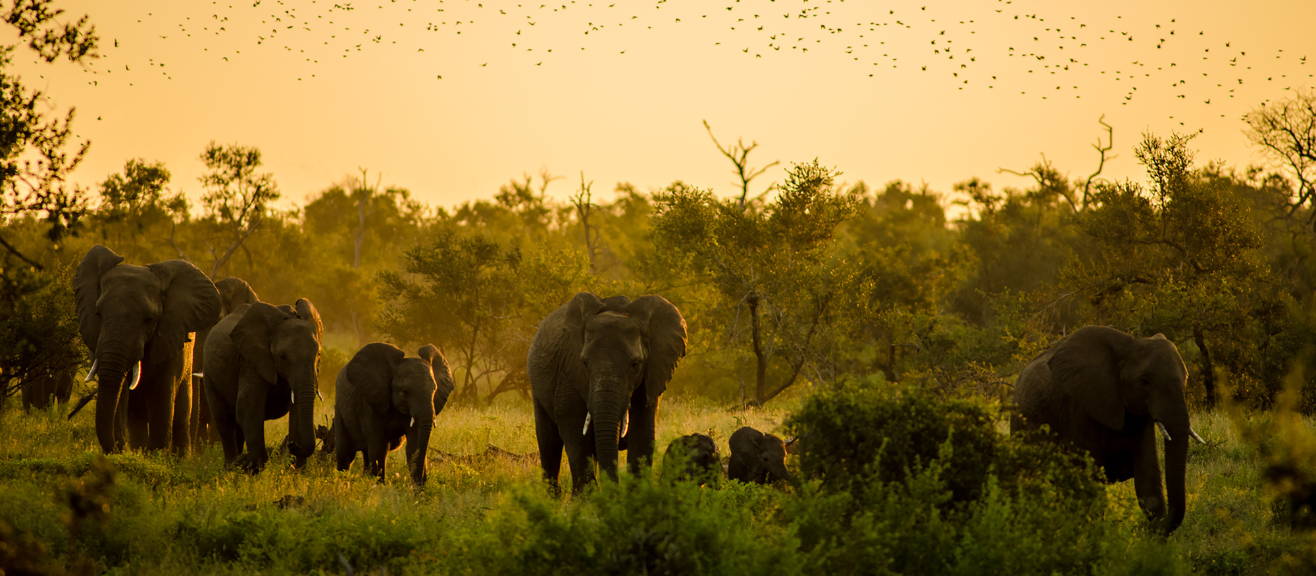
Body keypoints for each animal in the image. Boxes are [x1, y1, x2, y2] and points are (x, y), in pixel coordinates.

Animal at [75, 245, 222, 455]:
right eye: (98, 314)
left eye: (149, 319)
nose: (119, 449)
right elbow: (119, 394)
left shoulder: (170, 339)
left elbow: (162, 395)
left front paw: (157, 456)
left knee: (181, 414)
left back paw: (178, 457)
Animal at [203, 299, 323, 472]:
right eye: (283, 357)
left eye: (318, 354)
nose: (292, 444)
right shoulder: (251, 361)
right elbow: (248, 405)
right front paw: (254, 468)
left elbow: (297, 410)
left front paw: (298, 471)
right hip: (209, 373)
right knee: (224, 419)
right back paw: (232, 466)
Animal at [332, 342, 456, 485]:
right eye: (404, 392)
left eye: (434, 390)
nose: (422, 485)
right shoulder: (370, 403)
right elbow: (378, 447)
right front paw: (379, 487)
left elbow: (414, 446)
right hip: (339, 409)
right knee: (345, 454)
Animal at [528, 292, 687, 494]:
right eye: (584, 363)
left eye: (635, 364)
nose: (615, 491)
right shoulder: (569, 371)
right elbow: (576, 434)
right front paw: (589, 499)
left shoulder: (650, 376)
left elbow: (642, 434)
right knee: (549, 444)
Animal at [1011, 325, 1205, 535]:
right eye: (1144, 381)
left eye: (1186, 378)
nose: (1146, 528)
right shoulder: (1079, 406)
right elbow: (1086, 481)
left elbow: (1147, 476)